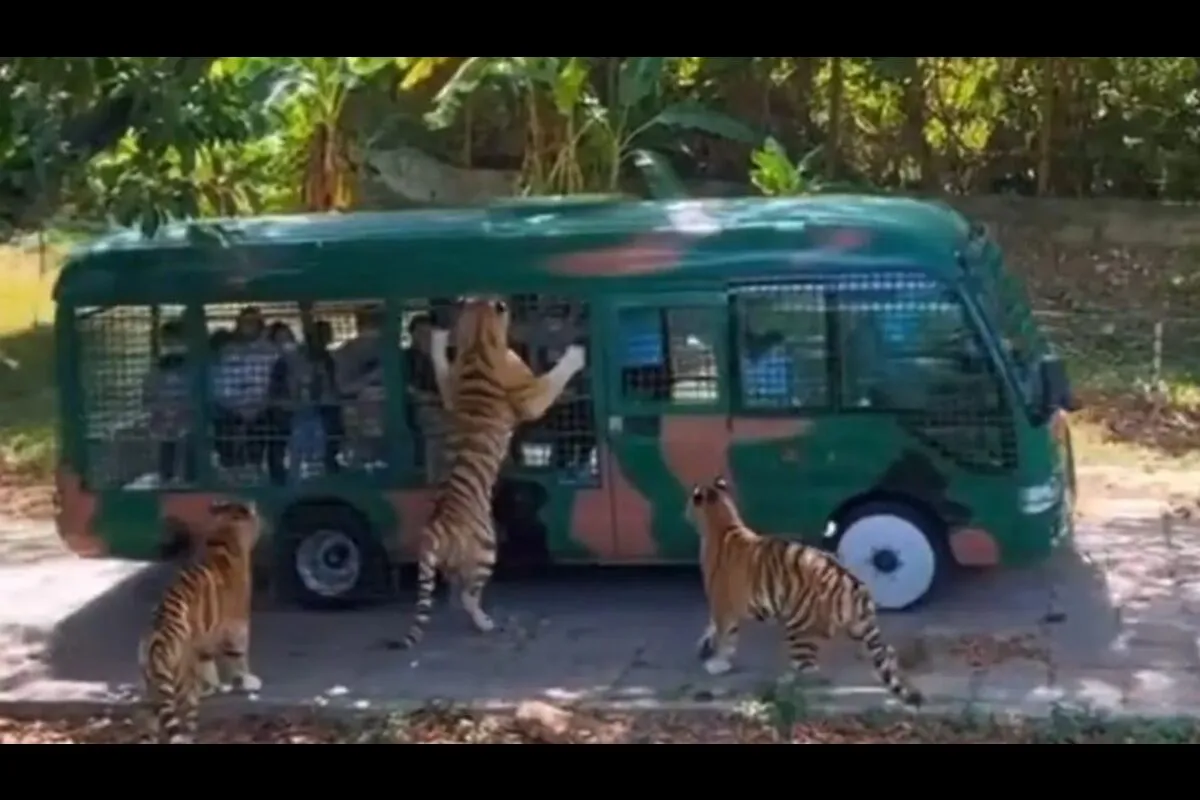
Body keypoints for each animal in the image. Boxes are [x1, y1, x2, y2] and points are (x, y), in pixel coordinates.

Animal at [138, 501, 265, 743]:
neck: (224, 535)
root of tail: (158, 644)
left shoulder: (204, 636)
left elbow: (208, 662)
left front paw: (214, 686)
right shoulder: (236, 625)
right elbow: (239, 656)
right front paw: (247, 681)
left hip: (152, 693)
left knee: (149, 727)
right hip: (182, 686)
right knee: (185, 722)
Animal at [396, 296, 588, 652]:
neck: (477, 339)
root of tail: (434, 529)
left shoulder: (450, 388)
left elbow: (442, 372)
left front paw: (438, 340)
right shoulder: (530, 396)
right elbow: (552, 379)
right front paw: (576, 355)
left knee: (457, 592)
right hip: (487, 549)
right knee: (469, 596)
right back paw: (486, 623)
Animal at [686, 474, 926, 705]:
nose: (685, 512)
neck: (723, 520)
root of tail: (854, 585)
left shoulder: (722, 604)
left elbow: (725, 635)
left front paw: (717, 663)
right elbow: (712, 627)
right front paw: (705, 646)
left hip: (800, 630)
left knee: (811, 672)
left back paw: (785, 685)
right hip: (859, 628)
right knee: (885, 653)